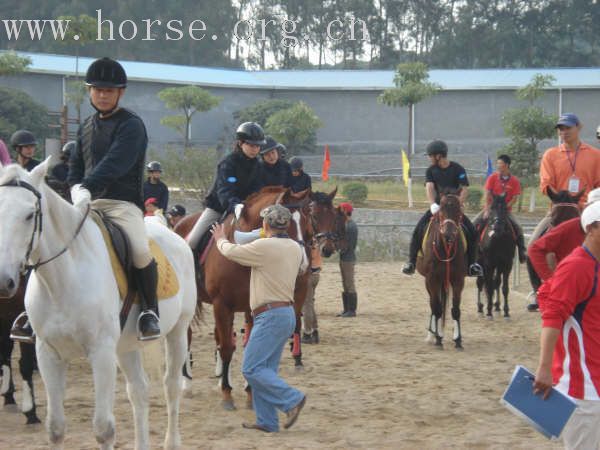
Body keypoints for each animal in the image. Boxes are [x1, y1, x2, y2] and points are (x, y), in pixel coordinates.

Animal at [173, 186, 342, 412]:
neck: (243, 247)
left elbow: (250, 346)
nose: (304, 261)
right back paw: (187, 384)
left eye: (308, 219)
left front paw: (249, 392)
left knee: (219, 336)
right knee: (188, 337)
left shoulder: (253, 305)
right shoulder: (221, 304)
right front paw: (227, 395)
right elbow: (227, 348)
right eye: (314, 216)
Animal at [420, 192, 466, 350]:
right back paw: (432, 334)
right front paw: (438, 338)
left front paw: (458, 340)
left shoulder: (458, 280)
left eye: (458, 211)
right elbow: (437, 308)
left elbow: (455, 310)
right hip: (431, 282)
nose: (448, 234)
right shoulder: (432, 279)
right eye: (440, 212)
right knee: (434, 306)